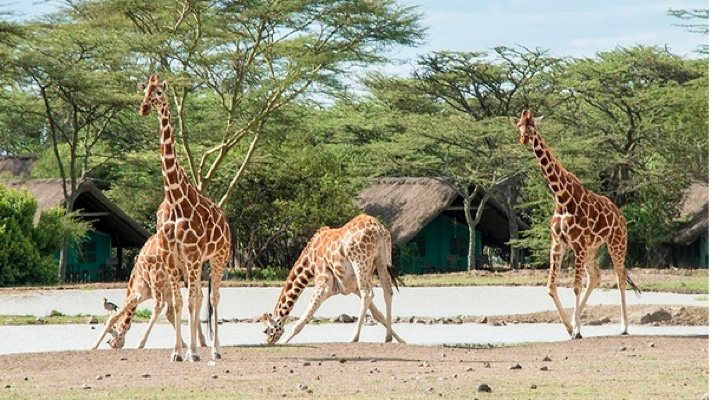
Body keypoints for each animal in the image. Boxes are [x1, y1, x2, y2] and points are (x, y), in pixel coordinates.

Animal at [137, 73, 231, 360]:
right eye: (143, 91)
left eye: (158, 92)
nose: (144, 108)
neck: (175, 200)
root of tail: (226, 222)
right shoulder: (171, 256)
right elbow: (180, 302)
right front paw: (177, 352)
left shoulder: (192, 254)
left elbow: (192, 301)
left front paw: (192, 352)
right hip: (194, 263)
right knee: (198, 297)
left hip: (218, 257)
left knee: (213, 298)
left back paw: (215, 350)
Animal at [262, 214, 408, 346]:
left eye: (266, 330)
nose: (267, 343)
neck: (310, 262)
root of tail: (377, 227)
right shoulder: (352, 287)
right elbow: (378, 314)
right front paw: (401, 340)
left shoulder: (323, 284)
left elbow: (303, 319)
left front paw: (284, 342)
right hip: (382, 259)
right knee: (387, 291)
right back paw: (387, 337)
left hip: (360, 261)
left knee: (368, 293)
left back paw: (353, 338)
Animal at [508, 108, 644, 338]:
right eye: (519, 125)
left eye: (532, 125)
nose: (524, 138)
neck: (562, 197)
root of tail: (620, 215)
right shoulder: (558, 243)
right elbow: (551, 286)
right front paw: (570, 326)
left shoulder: (577, 244)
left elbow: (575, 286)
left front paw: (577, 330)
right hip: (592, 248)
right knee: (596, 277)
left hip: (616, 243)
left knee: (620, 278)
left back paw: (624, 327)